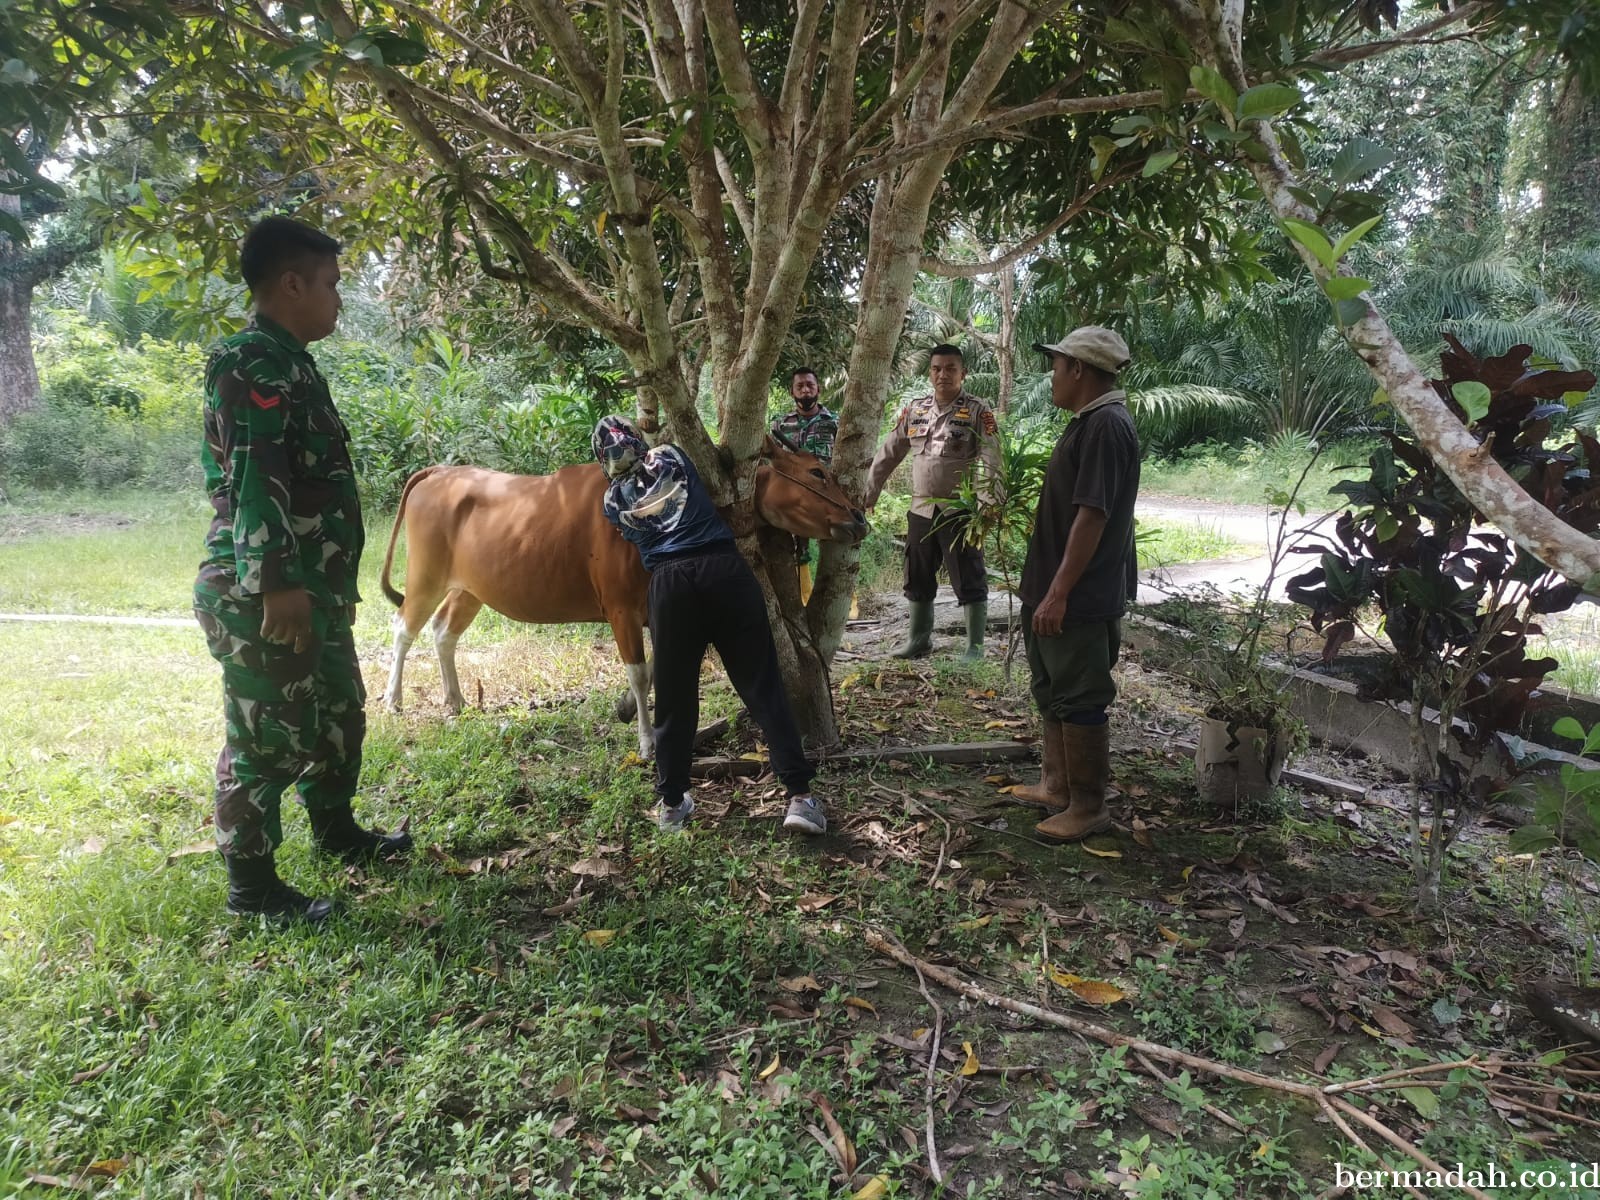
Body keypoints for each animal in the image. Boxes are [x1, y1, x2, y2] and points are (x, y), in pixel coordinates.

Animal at [376, 438, 870, 755]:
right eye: (817, 472)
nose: (858, 518)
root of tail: (439, 471)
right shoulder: (619, 609)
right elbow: (639, 672)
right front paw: (648, 741)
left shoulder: (656, 609)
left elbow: (658, 668)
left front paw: (627, 710)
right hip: (425, 574)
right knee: (402, 627)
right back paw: (394, 700)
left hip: (471, 589)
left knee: (443, 631)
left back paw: (456, 700)